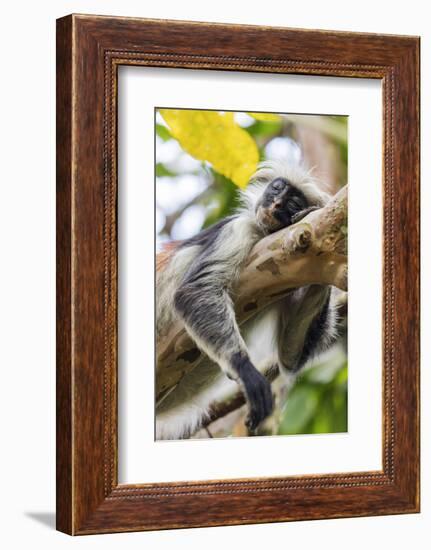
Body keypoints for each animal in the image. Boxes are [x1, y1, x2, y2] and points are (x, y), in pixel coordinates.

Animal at [155, 162, 348, 442]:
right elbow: (194, 291)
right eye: (276, 189)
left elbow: (290, 356)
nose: (276, 204)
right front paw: (245, 369)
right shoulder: (239, 227)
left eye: (293, 202)